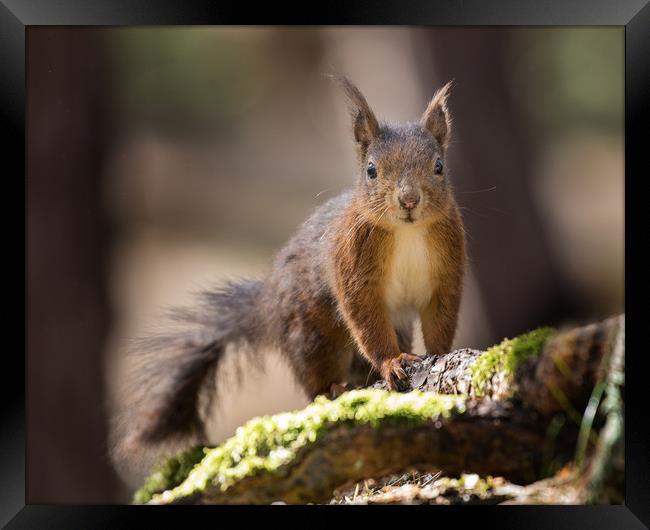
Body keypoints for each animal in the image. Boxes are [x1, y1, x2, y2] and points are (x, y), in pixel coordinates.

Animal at [111, 75, 466, 466]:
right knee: (315, 380)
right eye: (371, 170)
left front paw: (440, 355)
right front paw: (391, 362)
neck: (406, 232)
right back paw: (335, 387)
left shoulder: (447, 269)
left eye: (439, 166)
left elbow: (440, 315)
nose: (409, 200)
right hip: (312, 334)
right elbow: (364, 316)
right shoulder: (352, 265)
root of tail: (266, 305)